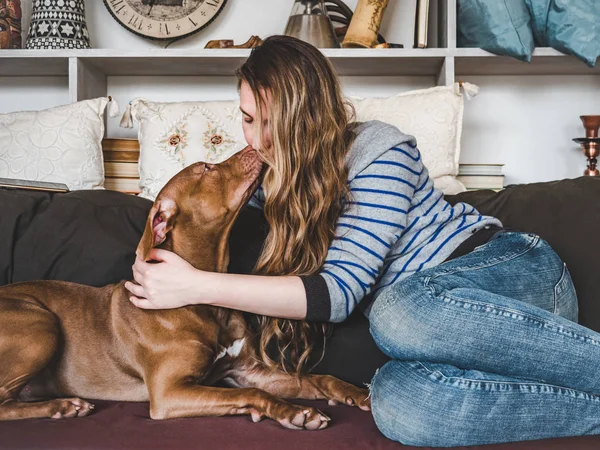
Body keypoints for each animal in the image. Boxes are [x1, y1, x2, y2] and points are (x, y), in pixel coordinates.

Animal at [0, 146, 370, 430]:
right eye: (206, 167)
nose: (255, 147)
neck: (202, 299)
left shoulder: (249, 371)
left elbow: (316, 378)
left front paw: (356, 393)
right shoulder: (169, 393)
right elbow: (249, 394)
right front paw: (292, 412)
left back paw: (62, 406)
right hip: (41, 323)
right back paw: (64, 406)